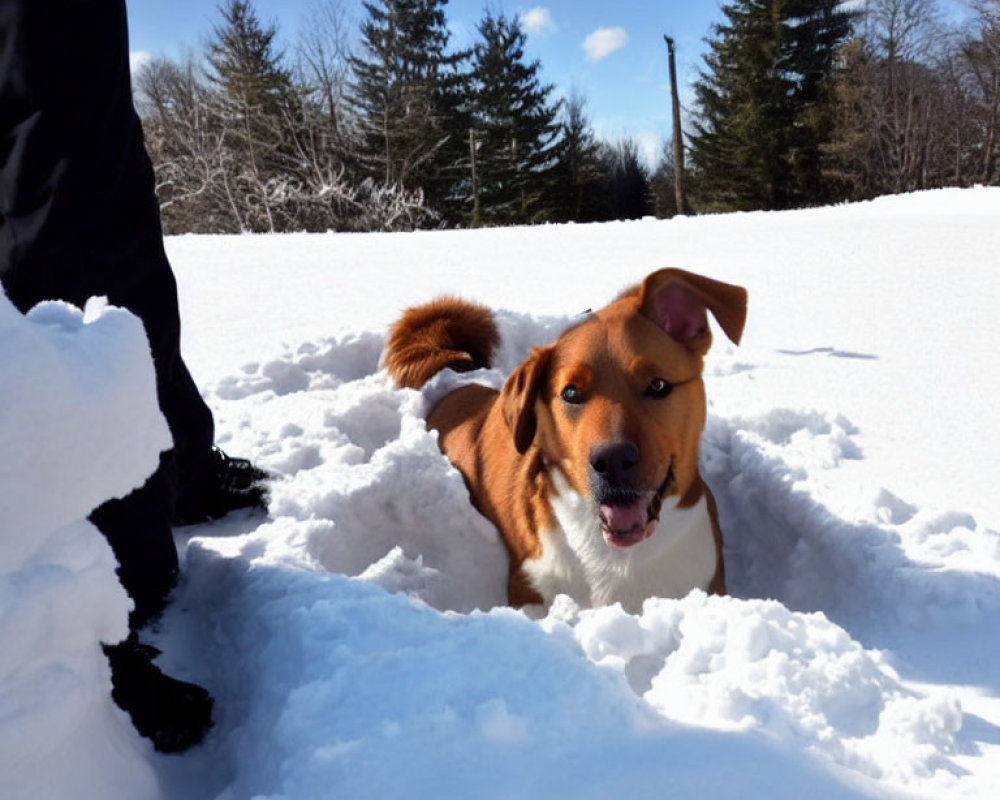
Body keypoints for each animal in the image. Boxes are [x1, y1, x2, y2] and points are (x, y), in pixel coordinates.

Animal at [386, 268, 748, 612]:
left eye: (658, 385)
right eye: (570, 393)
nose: (612, 460)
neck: (616, 559)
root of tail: (457, 378)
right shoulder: (527, 588)